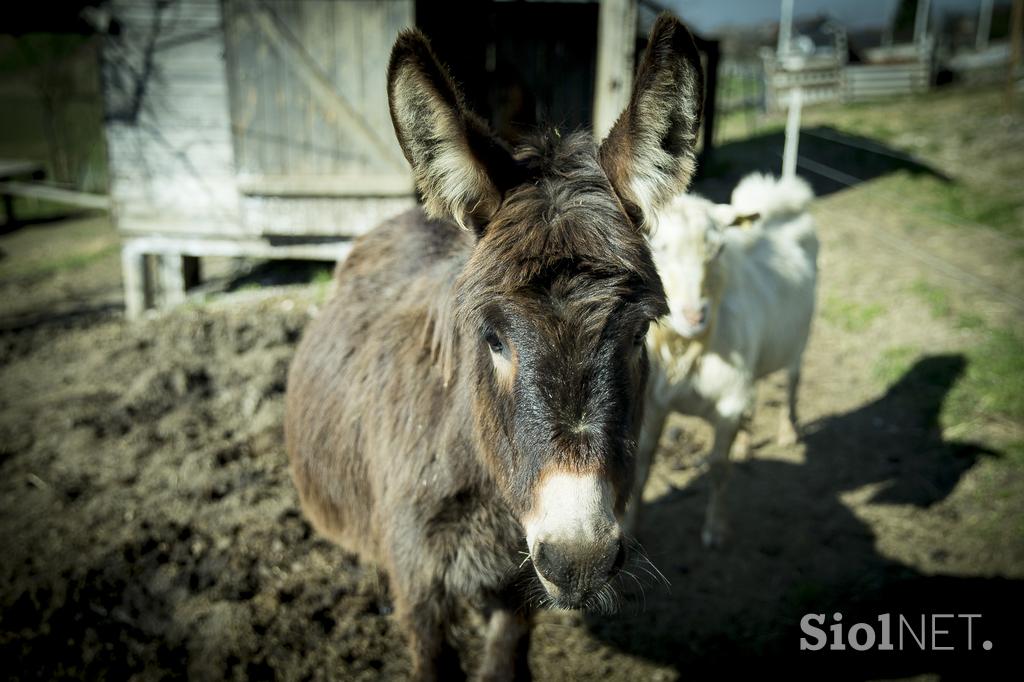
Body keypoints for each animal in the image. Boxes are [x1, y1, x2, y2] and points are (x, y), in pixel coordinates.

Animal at [626, 174, 819, 548]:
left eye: (718, 250)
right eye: (658, 247)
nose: (694, 315)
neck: (690, 346)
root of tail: (780, 193)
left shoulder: (728, 400)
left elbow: (718, 467)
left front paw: (716, 529)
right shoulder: (654, 402)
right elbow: (642, 463)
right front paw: (630, 528)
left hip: (800, 338)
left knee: (792, 381)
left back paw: (788, 431)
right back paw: (744, 444)